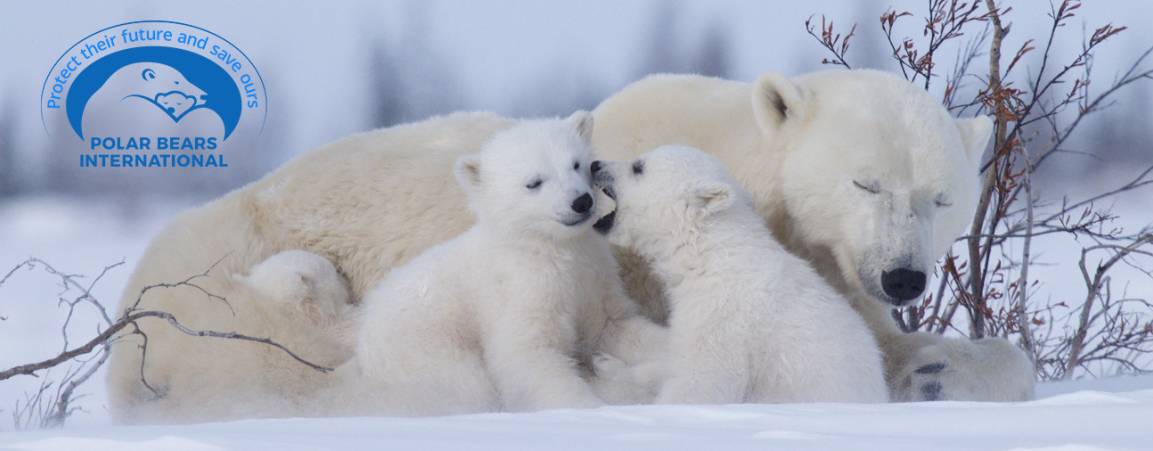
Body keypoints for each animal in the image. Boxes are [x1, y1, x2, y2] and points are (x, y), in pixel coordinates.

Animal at [334, 111, 659, 417]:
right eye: (534, 182)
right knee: (464, 386)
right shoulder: (520, 289)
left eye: (577, 164)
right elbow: (527, 355)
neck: (546, 246)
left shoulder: (593, 277)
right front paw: (588, 408)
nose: (581, 202)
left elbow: (614, 325)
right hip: (425, 348)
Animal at [590, 146, 885, 403]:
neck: (711, 255)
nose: (595, 165)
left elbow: (703, 383)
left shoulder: (724, 318)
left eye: (638, 166)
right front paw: (607, 363)